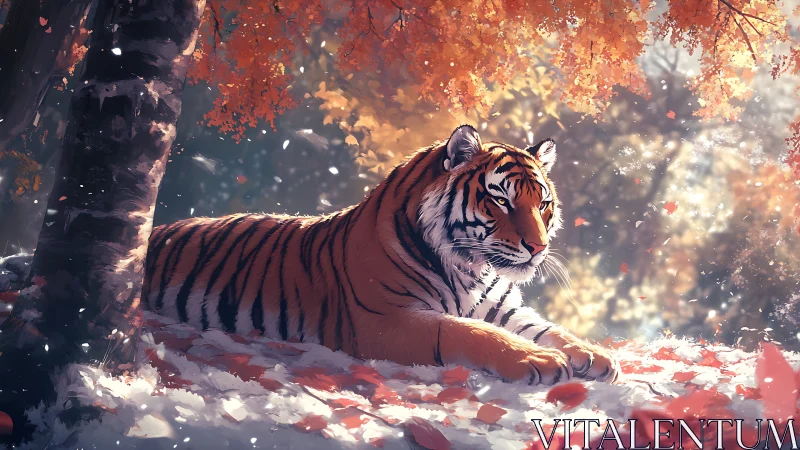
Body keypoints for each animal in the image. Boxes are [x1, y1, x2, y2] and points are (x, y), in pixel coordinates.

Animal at [142, 125, 620, 385]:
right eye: (500, 200)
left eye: (543, 203)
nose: (538, 248)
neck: (473, 270)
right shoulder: (384, 320)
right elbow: (468, 332)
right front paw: (539, 360)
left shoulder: (500, 306)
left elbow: (547, 328)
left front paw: (594, 355)